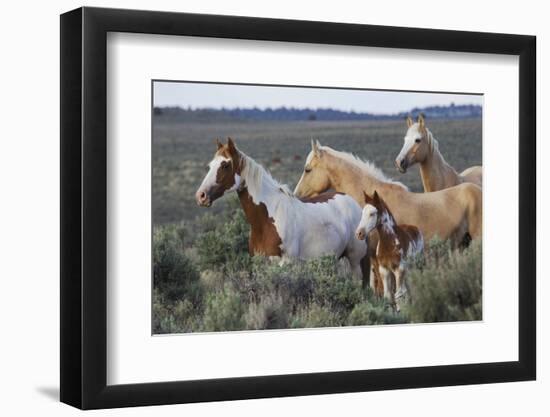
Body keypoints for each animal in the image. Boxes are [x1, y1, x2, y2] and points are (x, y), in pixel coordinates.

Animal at [196, 139, 368, 280]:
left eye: (225, 165)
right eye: (210, 166)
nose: (201, 196)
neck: (267, 219)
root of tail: (353, 202)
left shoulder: (286, 264)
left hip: (355, 261)